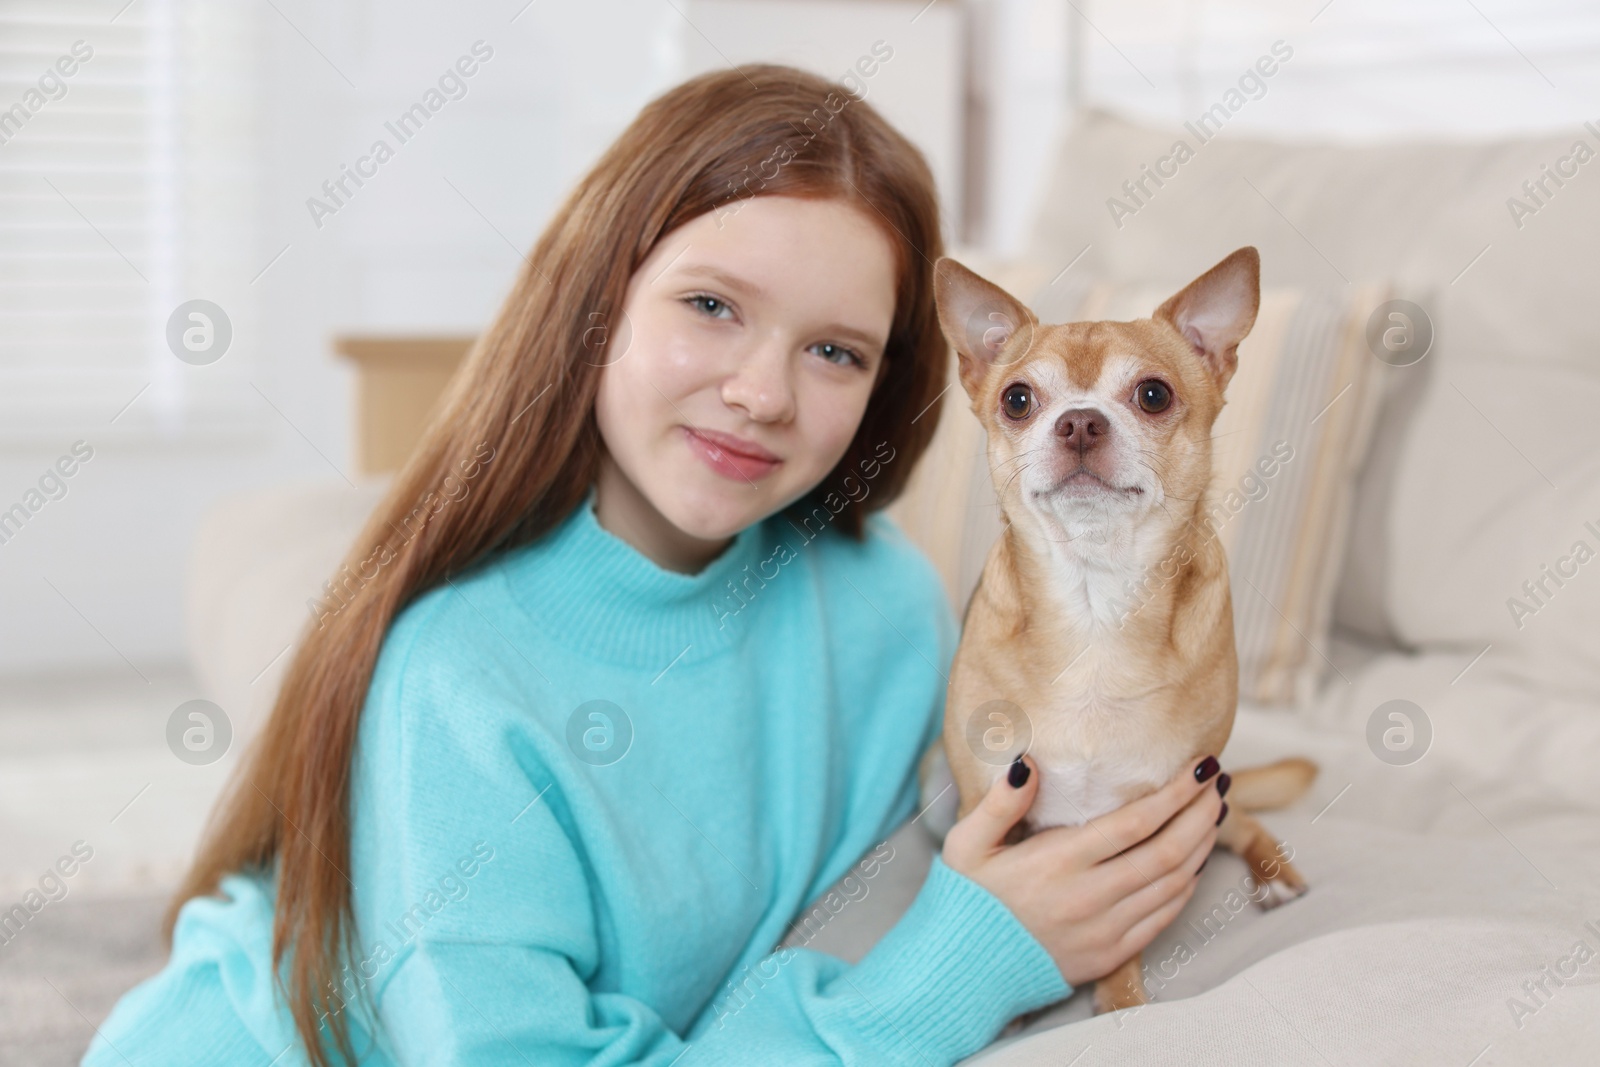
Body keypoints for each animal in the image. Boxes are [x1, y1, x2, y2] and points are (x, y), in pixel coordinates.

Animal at [928, 247, 1312, 1017]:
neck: (1094, 601)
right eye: (1018, 399)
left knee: (1241, 819)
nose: (1079, 421)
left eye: (1154, 394)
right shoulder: (988, 803)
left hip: (1211, 792)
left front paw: (1122, 1006)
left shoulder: (1165, 809)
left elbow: (1120, 949)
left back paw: (1274, 871)